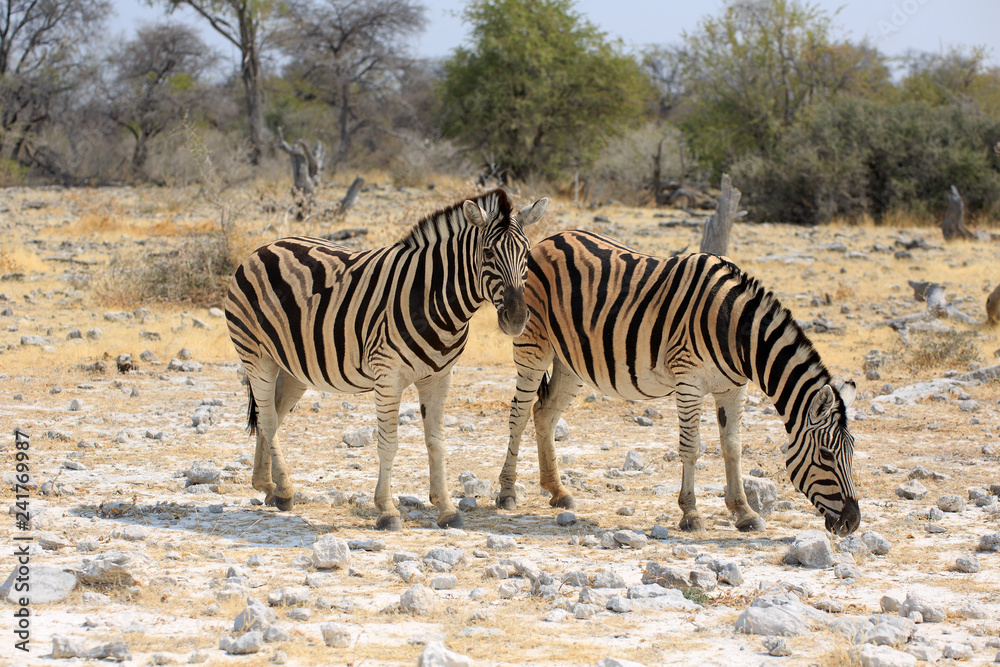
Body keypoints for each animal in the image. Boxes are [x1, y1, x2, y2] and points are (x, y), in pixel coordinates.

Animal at [224, 188, 548, 530]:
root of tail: (264, 247)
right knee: (268, 419)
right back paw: (284, 490)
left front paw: (446, 508)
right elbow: (388, 443)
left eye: (527, 255)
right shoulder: (388, 375)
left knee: (271, 413)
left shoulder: (439, 377)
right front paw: (387, 510)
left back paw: (266, 486)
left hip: (294, 367)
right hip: (256, 356)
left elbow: (437, 442)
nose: (517, 318)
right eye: (487, 254)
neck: (431, 299)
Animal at [498, 230, 860, 536]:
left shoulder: (734, 388)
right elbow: (692, 447)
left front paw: (744, 512)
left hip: (572, 361)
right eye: (826, 455)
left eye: (852, 453)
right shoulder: (689, 381)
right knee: (519, 414)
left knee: (544, 413)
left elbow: (732, 447)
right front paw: (691, 513)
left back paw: (557, 491)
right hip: (533, 345)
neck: (736, 331)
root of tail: (548, 239)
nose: (852, 523)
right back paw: (507, 492)